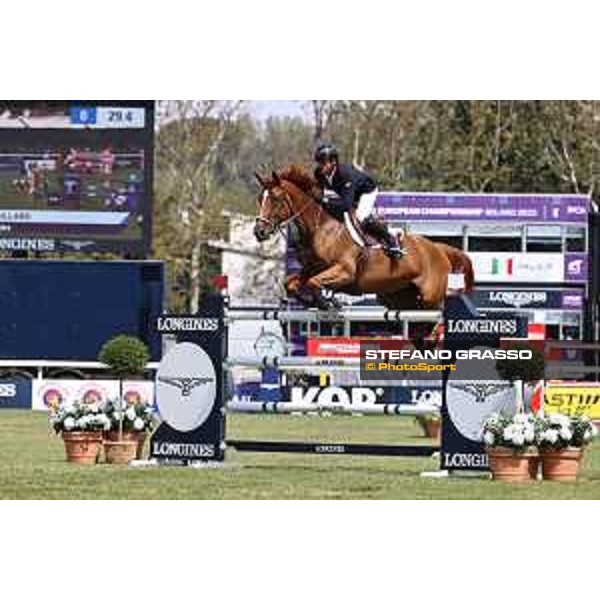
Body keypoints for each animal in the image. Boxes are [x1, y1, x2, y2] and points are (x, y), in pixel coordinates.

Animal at [253, 164, 474, 310]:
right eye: (259, 199)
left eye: (276, 199)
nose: (259, 232)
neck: (321, 228)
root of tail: (438, 248)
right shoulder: (310, 269)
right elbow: (291, 283)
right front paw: (318, 301)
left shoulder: (345, 270)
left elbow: (314, 283)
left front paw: (328, 302)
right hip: (400, 295)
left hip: (431, 298)